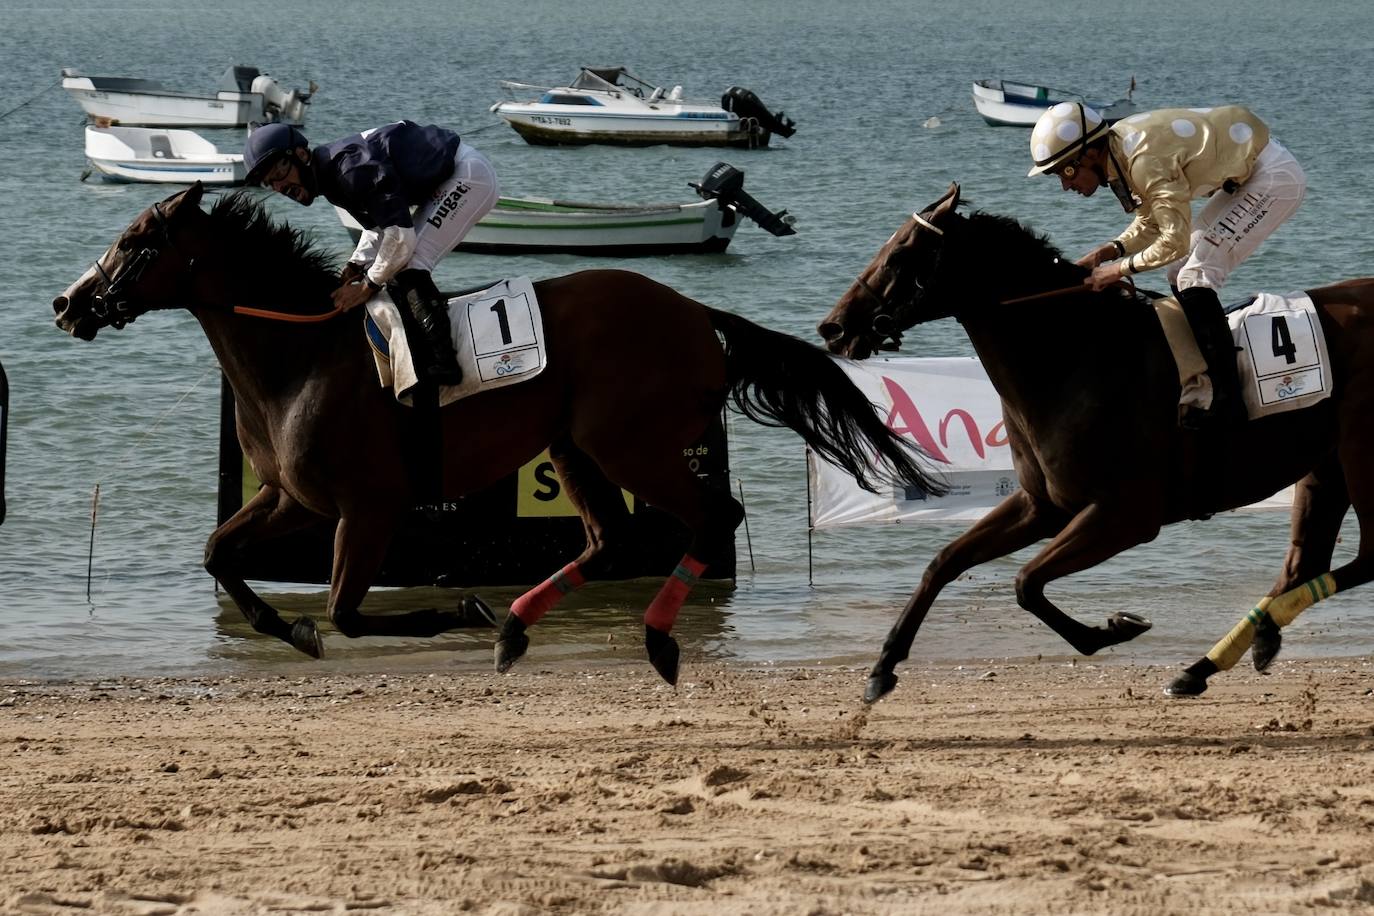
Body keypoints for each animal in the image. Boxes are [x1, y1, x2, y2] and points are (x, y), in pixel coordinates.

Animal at [48, 182, 939, 683]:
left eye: (135, 243)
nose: (66, 302)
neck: (300, 352)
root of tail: (694, 311)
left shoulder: (366, 509)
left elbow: (346, 611)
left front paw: (462, 609)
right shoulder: (289, 498)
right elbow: (217, 554)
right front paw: (283, 627)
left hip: (630, 444)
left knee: (714, 516)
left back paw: (643, 639)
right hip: (575, 446)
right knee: (610, 538)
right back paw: (518, 627)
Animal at [807, 184, 1374, 703]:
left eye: (902, 254)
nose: (833, 327)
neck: (1075, 357)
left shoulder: (1125, 516)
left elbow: (1026, 583)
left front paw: (1114, 628)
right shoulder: (1043, 503)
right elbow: (943, 562)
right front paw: (883, 666)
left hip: (1359, 460)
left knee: (1365, 559)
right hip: (1323, 468)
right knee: (1304, 565)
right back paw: (1213, 662)